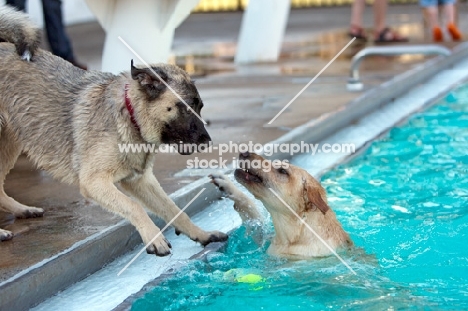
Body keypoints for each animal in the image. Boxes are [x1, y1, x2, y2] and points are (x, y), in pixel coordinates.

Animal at [0, 6, 227, 256]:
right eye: (186, 107)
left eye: (200, 107)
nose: (207, 141)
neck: (130, 115)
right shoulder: (94, 182)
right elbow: (134, 206)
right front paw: (154, 238)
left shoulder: (141, 182)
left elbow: (174, 209)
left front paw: (201, 234)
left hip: (8, 145)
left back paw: (21, 210)